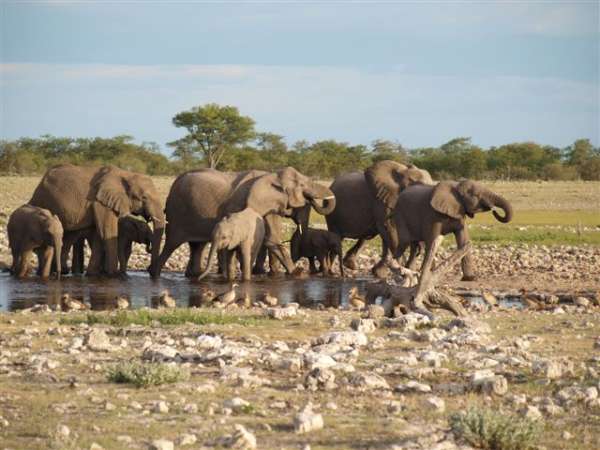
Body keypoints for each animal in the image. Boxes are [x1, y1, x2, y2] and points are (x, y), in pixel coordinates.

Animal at [29, 164, 165, 276]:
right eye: (144, 198)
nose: (149, 270)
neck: (126, 174)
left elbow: (99, 234)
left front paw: (93, 274)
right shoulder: (100, 203)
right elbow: (107, 232)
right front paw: (114, 275)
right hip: (43, 200)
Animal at [151, 167, 336, 279]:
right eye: (303, 186)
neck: (272, 175)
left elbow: (268, 238)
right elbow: (270, 239)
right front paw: (298, 274)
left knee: (197, 246)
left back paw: (194, 275)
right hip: (177, 212)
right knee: (172, 244)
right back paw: (155, 274)